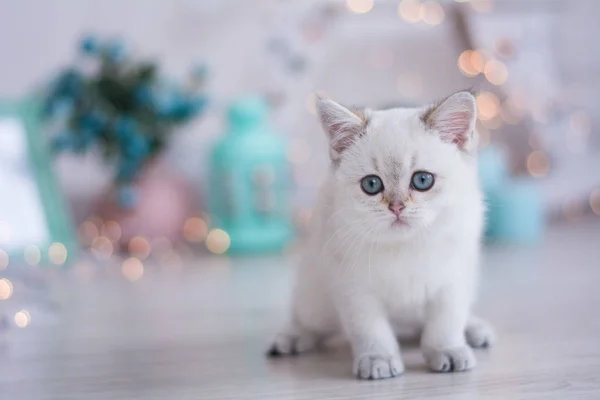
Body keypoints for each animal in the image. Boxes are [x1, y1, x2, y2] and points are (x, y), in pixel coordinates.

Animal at [270, 91, 494, 382]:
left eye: (423, 180)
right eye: (372, 184)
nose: (397, 207)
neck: (404, 246)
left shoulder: (452, 279)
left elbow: (445, 321)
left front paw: (448, 350)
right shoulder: (353, 288)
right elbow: (370, 329)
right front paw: (378, 358)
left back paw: (474, 329)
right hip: (315, 301)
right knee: (308, 321)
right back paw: (292, 337)